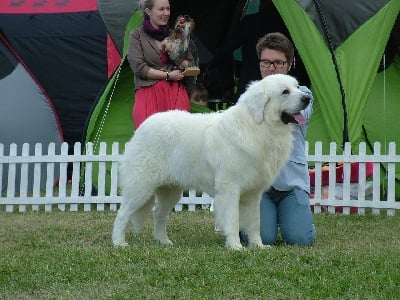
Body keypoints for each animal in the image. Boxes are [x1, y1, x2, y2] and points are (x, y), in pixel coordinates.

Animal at [111, 74, 310, 250]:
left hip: (171, 190)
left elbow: (255, 222)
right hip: (141, 187)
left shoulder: (254, 194)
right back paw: (119, 243)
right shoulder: (230, 188)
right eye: (285, 91)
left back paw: (164, 241)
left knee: (159, 214)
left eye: (298, 87)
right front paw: (235, 246)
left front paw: (258, 246)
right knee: (122, 214)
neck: (258, 127)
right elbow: (233, 219)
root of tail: (142, 126)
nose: (307, 98)